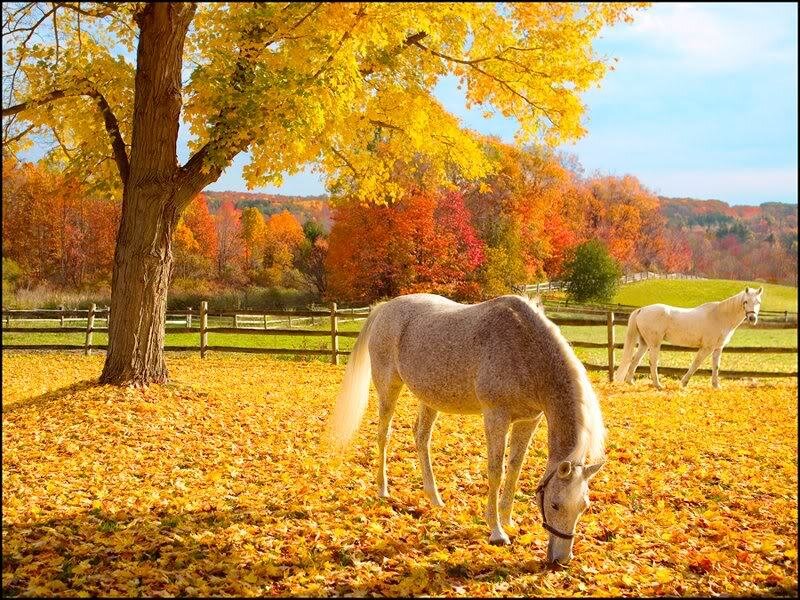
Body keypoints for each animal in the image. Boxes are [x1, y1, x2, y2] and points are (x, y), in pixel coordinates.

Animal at [326, 293, 606, 565]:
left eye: (584, 507)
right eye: (555, 505)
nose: (561, 559)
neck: (524, 348)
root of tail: (384, 308)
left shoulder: (529, 421)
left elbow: (515, 469)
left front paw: (508, 521)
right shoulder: (496, 416)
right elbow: (496, 471)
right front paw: (497, 531)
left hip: (430, 398)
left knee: (421, 437)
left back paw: (435, 498)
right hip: (388, 389)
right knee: (384, 435)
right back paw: (383, 490)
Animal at [613, 286, 763, 389]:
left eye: (758, 302)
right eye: (745, 301)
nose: (752, 318)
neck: (720, 316)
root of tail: (642, 310)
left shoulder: (717, 349)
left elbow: (716, 366)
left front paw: (716, 386)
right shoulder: (707, 348)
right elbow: (695, 364)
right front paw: (683, 383)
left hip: (644, 343)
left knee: (635, 360)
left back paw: (631, 382)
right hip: (654, 344)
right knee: (652, 362)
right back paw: (658, 385)